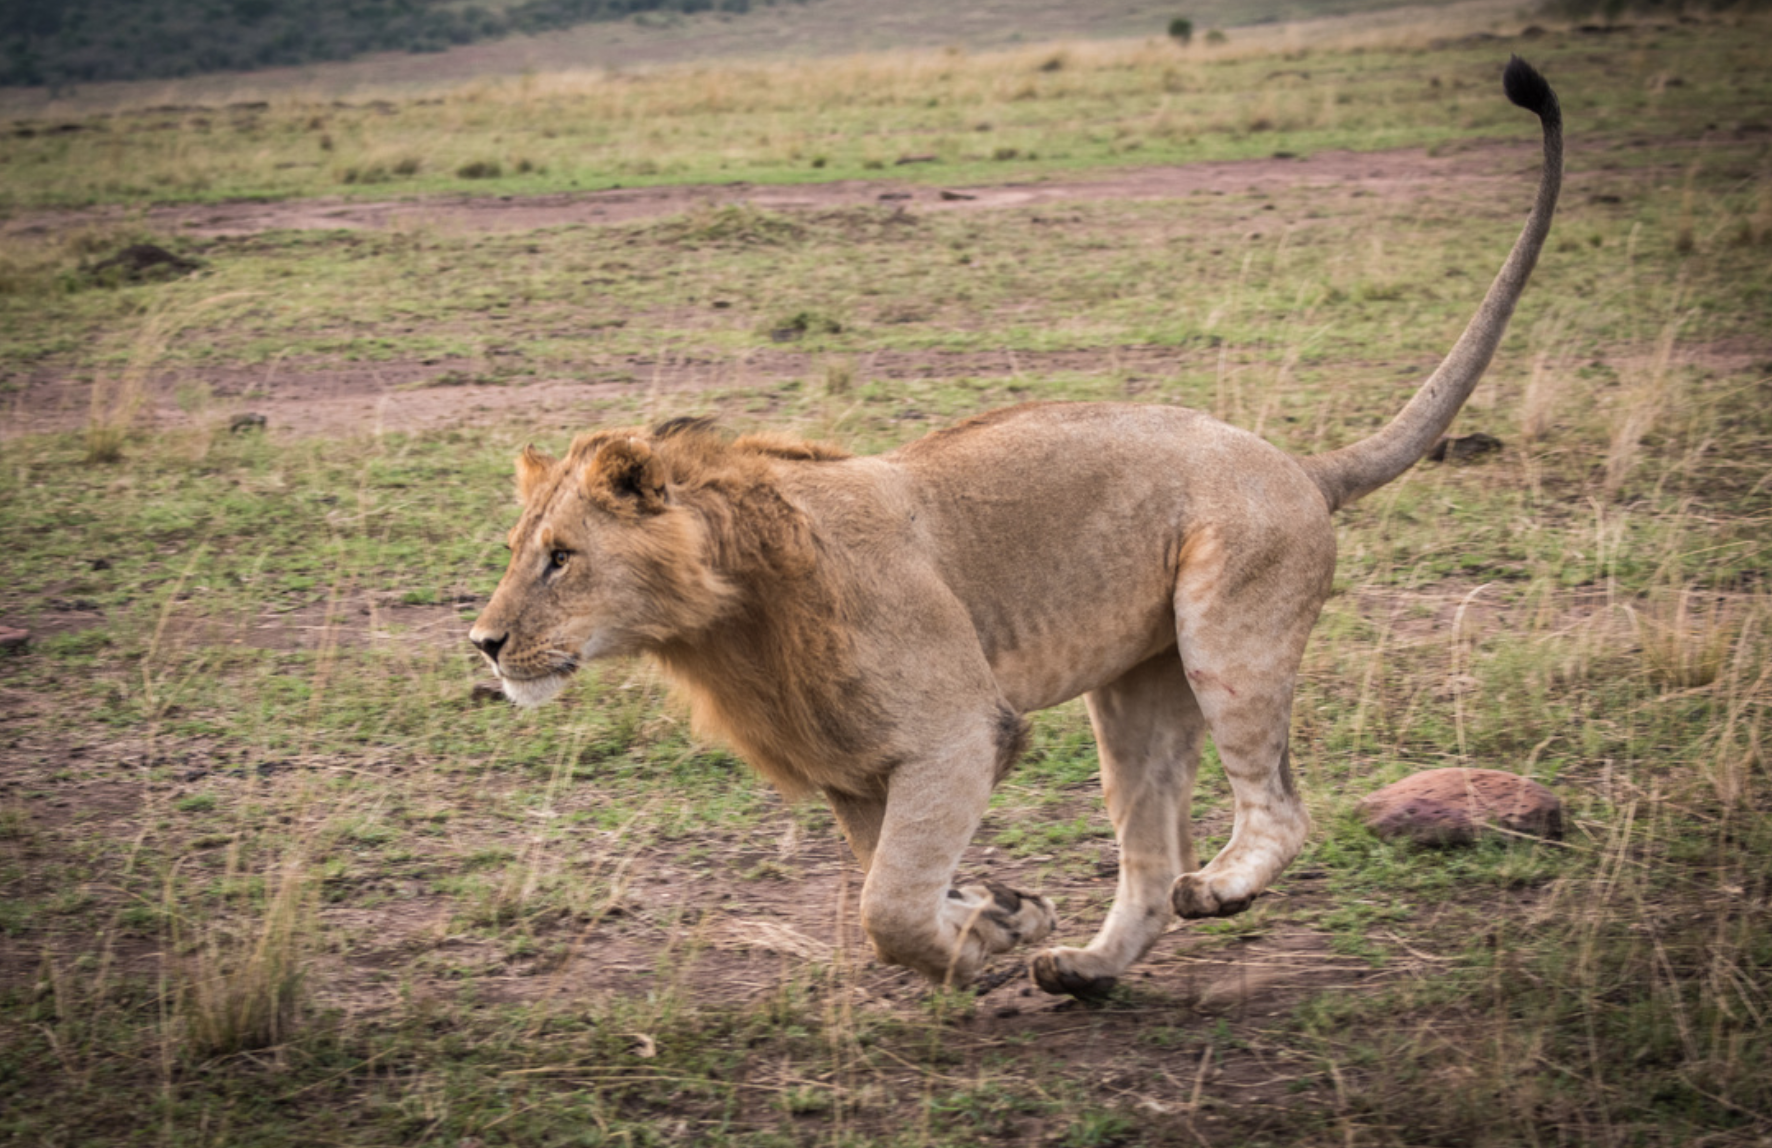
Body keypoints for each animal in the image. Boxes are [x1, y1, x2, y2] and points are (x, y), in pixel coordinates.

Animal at [471, 58, 1566, 992]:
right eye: (520, 552)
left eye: (561, 558)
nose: (482, 642)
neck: (724, 618)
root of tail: (1297, 464)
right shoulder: (849, 767)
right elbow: (898, 878)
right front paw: (1003, 917)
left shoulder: (956, 732)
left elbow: (887, 905)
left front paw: (978, 936)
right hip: (1135, 695)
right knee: (1147, 855)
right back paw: (1084, 966)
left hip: (1229, 634)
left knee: (1279, 810)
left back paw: (1218, 887)